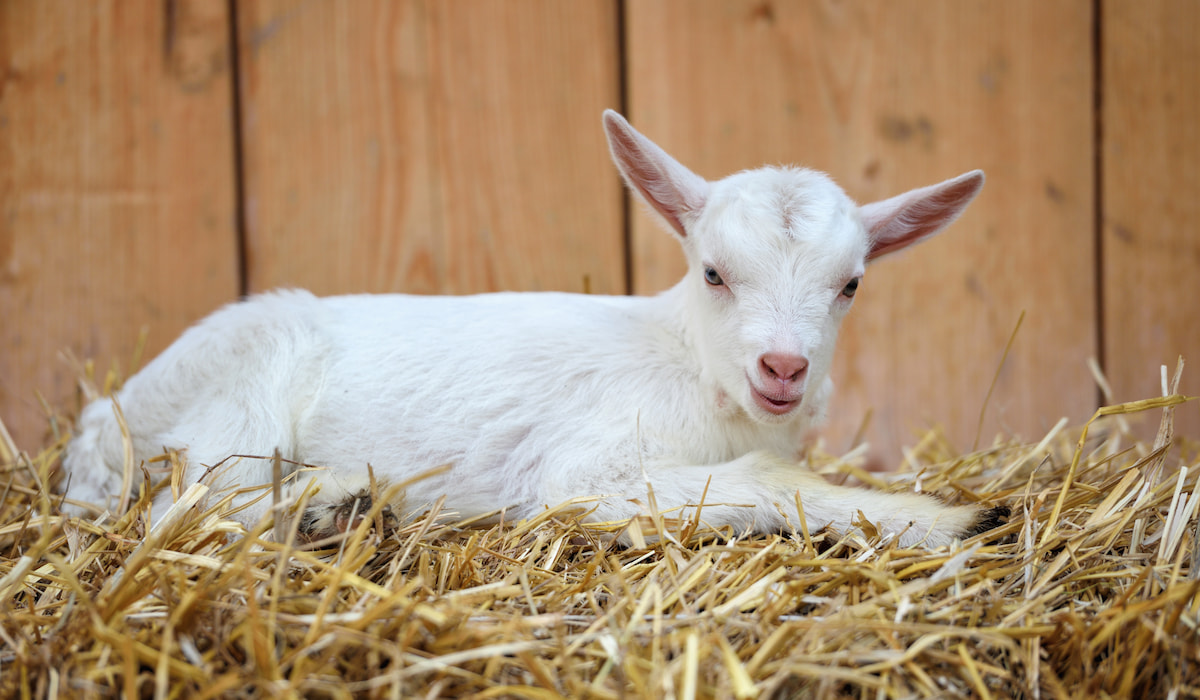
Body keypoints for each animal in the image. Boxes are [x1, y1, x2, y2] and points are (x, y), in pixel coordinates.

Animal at [60, 110, 1002, 547]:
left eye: (851, 285)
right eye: (713, 272)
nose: (783, 368)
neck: (688, 365)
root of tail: (104, 420)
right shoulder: (582, 473)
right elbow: (762, 478)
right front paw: (946, 519)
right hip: (242, 398)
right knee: (191, 514)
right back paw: (325, 506)